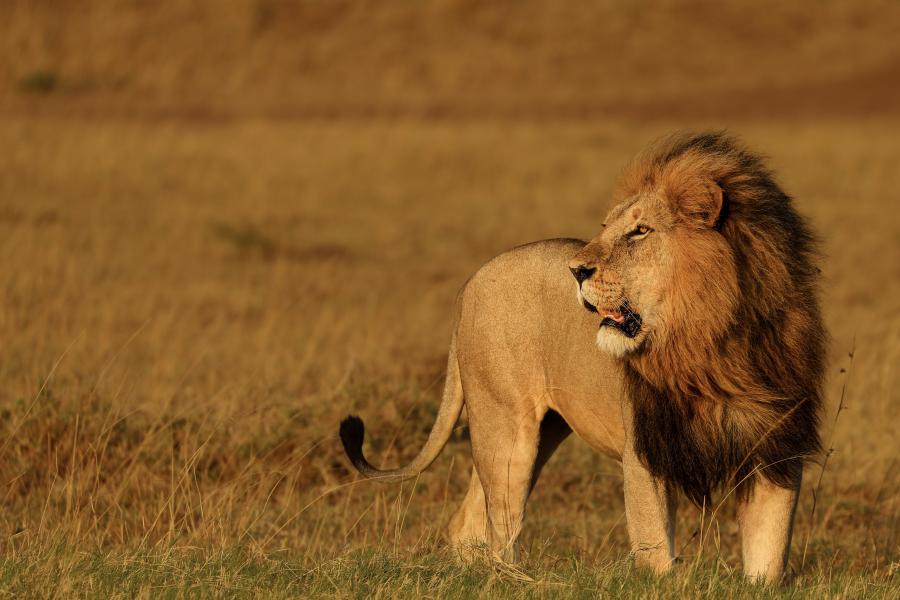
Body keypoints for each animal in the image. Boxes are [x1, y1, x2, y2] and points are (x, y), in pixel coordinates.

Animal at [342, 134, 828, 584]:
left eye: (640, 231)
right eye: (606, 226)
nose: (576, 270)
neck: (712, 343)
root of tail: (472, 282)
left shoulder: (776, 449)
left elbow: (769, 558)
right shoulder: (645, 450)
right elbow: (656, 553)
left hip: (542, 431)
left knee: (469, 521)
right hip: (506, 428)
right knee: (502, 528)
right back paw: (515, 581)